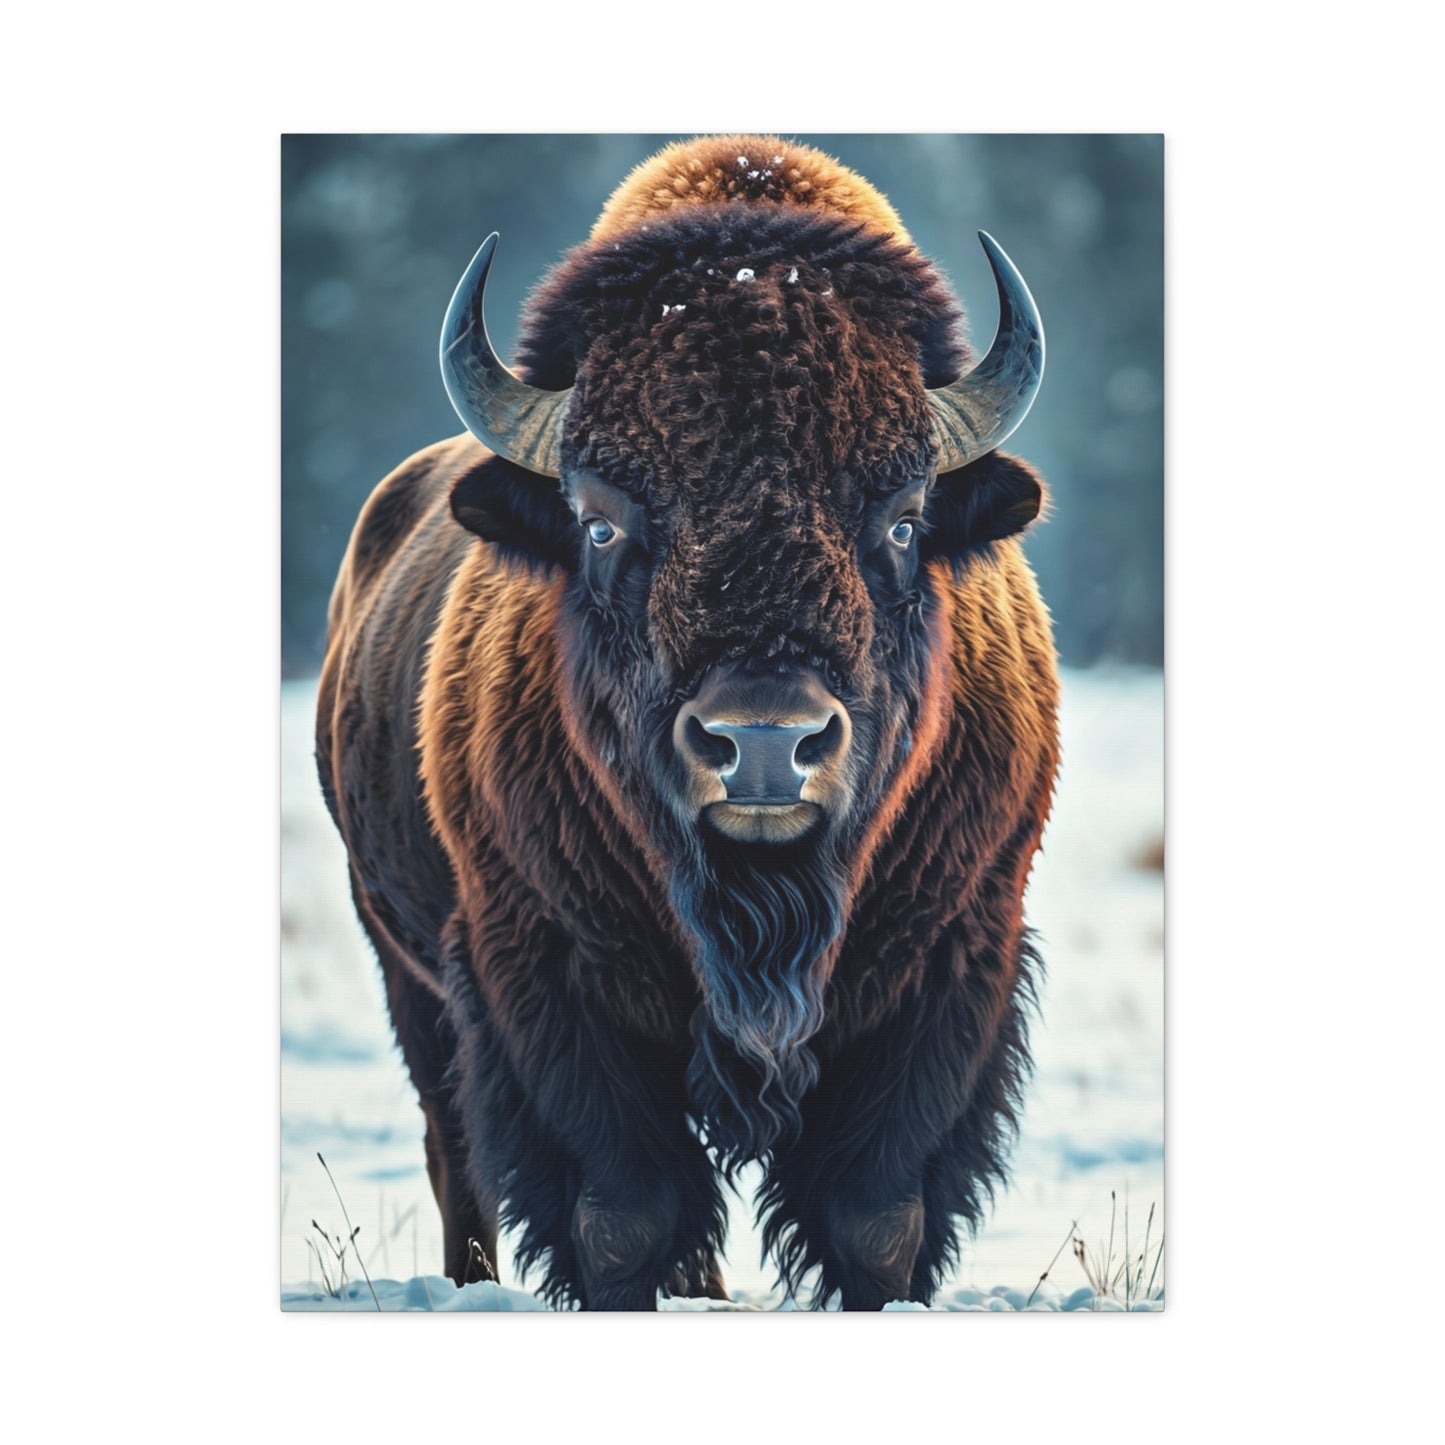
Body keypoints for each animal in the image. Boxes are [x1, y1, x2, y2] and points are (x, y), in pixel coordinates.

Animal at [316, 135, 1059, 1310]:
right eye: (599, 519)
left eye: (902, 517)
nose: (762, 742)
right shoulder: (544, 971)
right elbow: (622, 1213)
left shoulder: (949, 961)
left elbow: (875, 1215)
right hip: (405, 965)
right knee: (454, 1145)